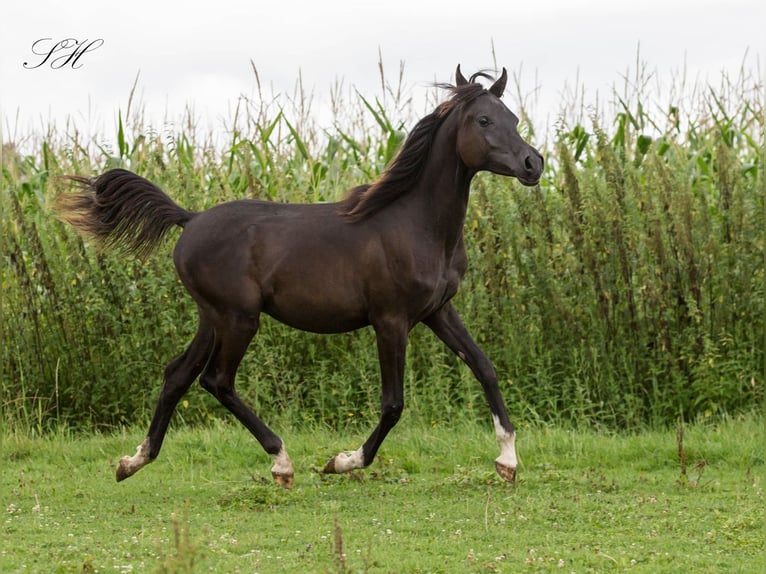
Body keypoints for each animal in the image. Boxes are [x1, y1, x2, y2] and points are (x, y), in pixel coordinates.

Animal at [55, 67, 544, 490]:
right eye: (484, 120)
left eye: (514, 118)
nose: (533, 164)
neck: (415, 223)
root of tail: (189, 219)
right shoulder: (390, 320)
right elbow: (393, 404)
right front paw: (342, 461)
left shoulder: (437, 311)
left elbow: (484, 367)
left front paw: (507, 460)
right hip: (239, 318)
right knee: (217, 381)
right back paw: (281, 462)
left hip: (212, 317)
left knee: (178, 374)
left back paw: (132, 461)